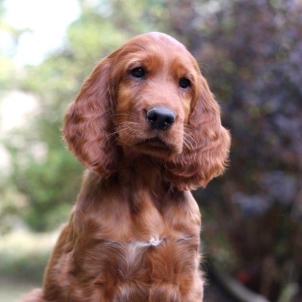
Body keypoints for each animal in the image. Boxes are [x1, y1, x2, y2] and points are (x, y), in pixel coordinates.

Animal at [23, 31, 231, 300]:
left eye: (185, 83)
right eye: (138, 72)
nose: (162, 117)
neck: (144, 176)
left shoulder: (186, 278)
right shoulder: (89, 277)